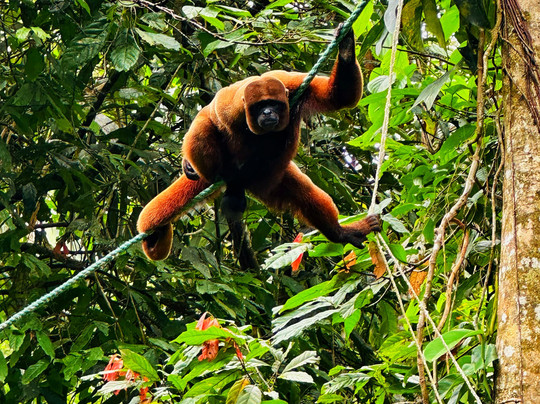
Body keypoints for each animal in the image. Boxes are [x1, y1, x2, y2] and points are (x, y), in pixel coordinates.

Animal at [137, 26, 381, 262]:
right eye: (259, 107)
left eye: (273, 104)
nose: (267, 113)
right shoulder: (231, 106)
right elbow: (207, 118)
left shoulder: (291, 84)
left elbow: (339, 97)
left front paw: (346, 47)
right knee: (202, 130)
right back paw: (231, 184)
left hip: (274, 177)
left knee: (305, 194)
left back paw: (340, 232)